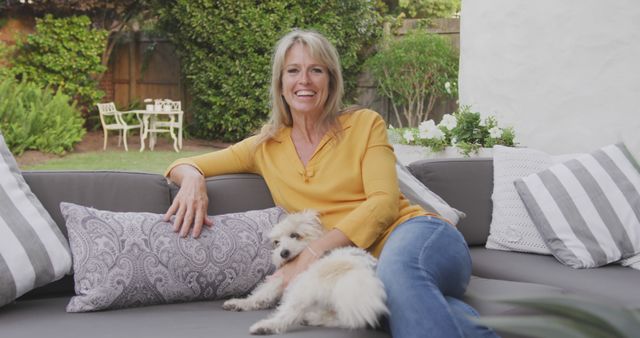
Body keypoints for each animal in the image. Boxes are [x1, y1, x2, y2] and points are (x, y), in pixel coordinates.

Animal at [222, 210, 388, 334]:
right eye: (276, 242)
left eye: (294, 235)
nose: (283, 253)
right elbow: (261, 295)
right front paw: (240, 303)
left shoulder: (286, 276)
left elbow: (264, 292)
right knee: (343, 319)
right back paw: (312, 318)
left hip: (304, 286)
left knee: (288, 314)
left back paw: (266, 326)